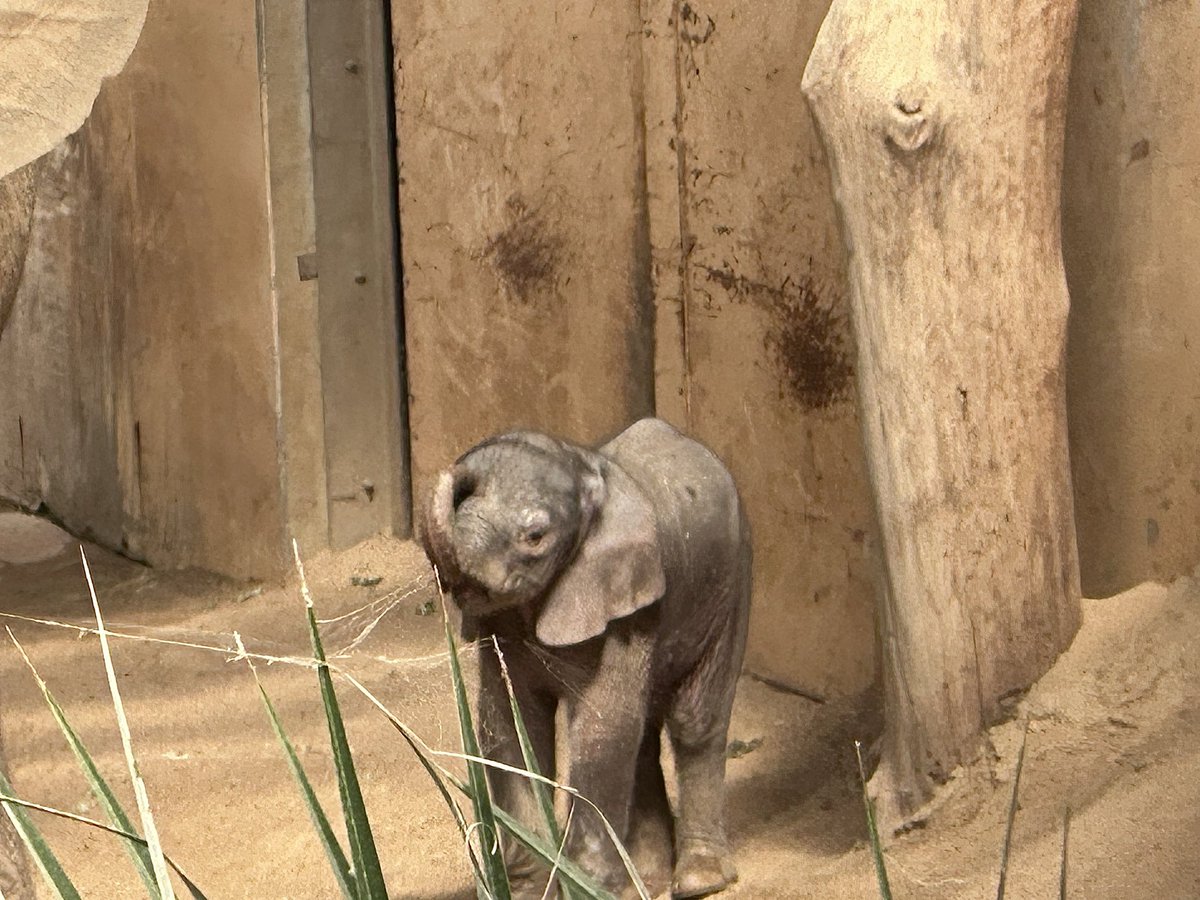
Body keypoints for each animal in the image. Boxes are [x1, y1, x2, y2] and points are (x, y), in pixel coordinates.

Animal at [419, 417, 751, 899]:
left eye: (535, 537)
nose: (460, 473)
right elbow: (508, 728)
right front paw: (526, 890)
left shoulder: (626, 605)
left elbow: (600, 729)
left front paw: (585, 887)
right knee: (642, 733)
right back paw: (645, 881)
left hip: (733, 582)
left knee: (693, 719)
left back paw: (698, 882)